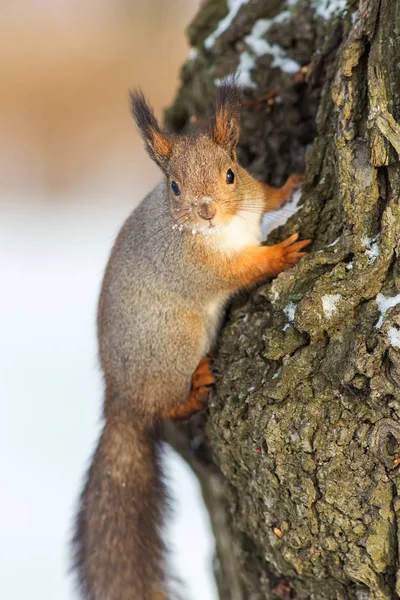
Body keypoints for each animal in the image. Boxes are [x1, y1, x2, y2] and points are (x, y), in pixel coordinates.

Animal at [72, 83, 310, 600]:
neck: (222, 229)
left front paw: (290, 186)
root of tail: (121, 399)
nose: (206, 210)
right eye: (174, 187)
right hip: (176, 342)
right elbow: (239, 271)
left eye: (231, 172)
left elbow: (266, 194)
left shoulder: (250, 193)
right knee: (166, 406)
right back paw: (194, 388)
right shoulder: (197, 266)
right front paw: (280, 254)